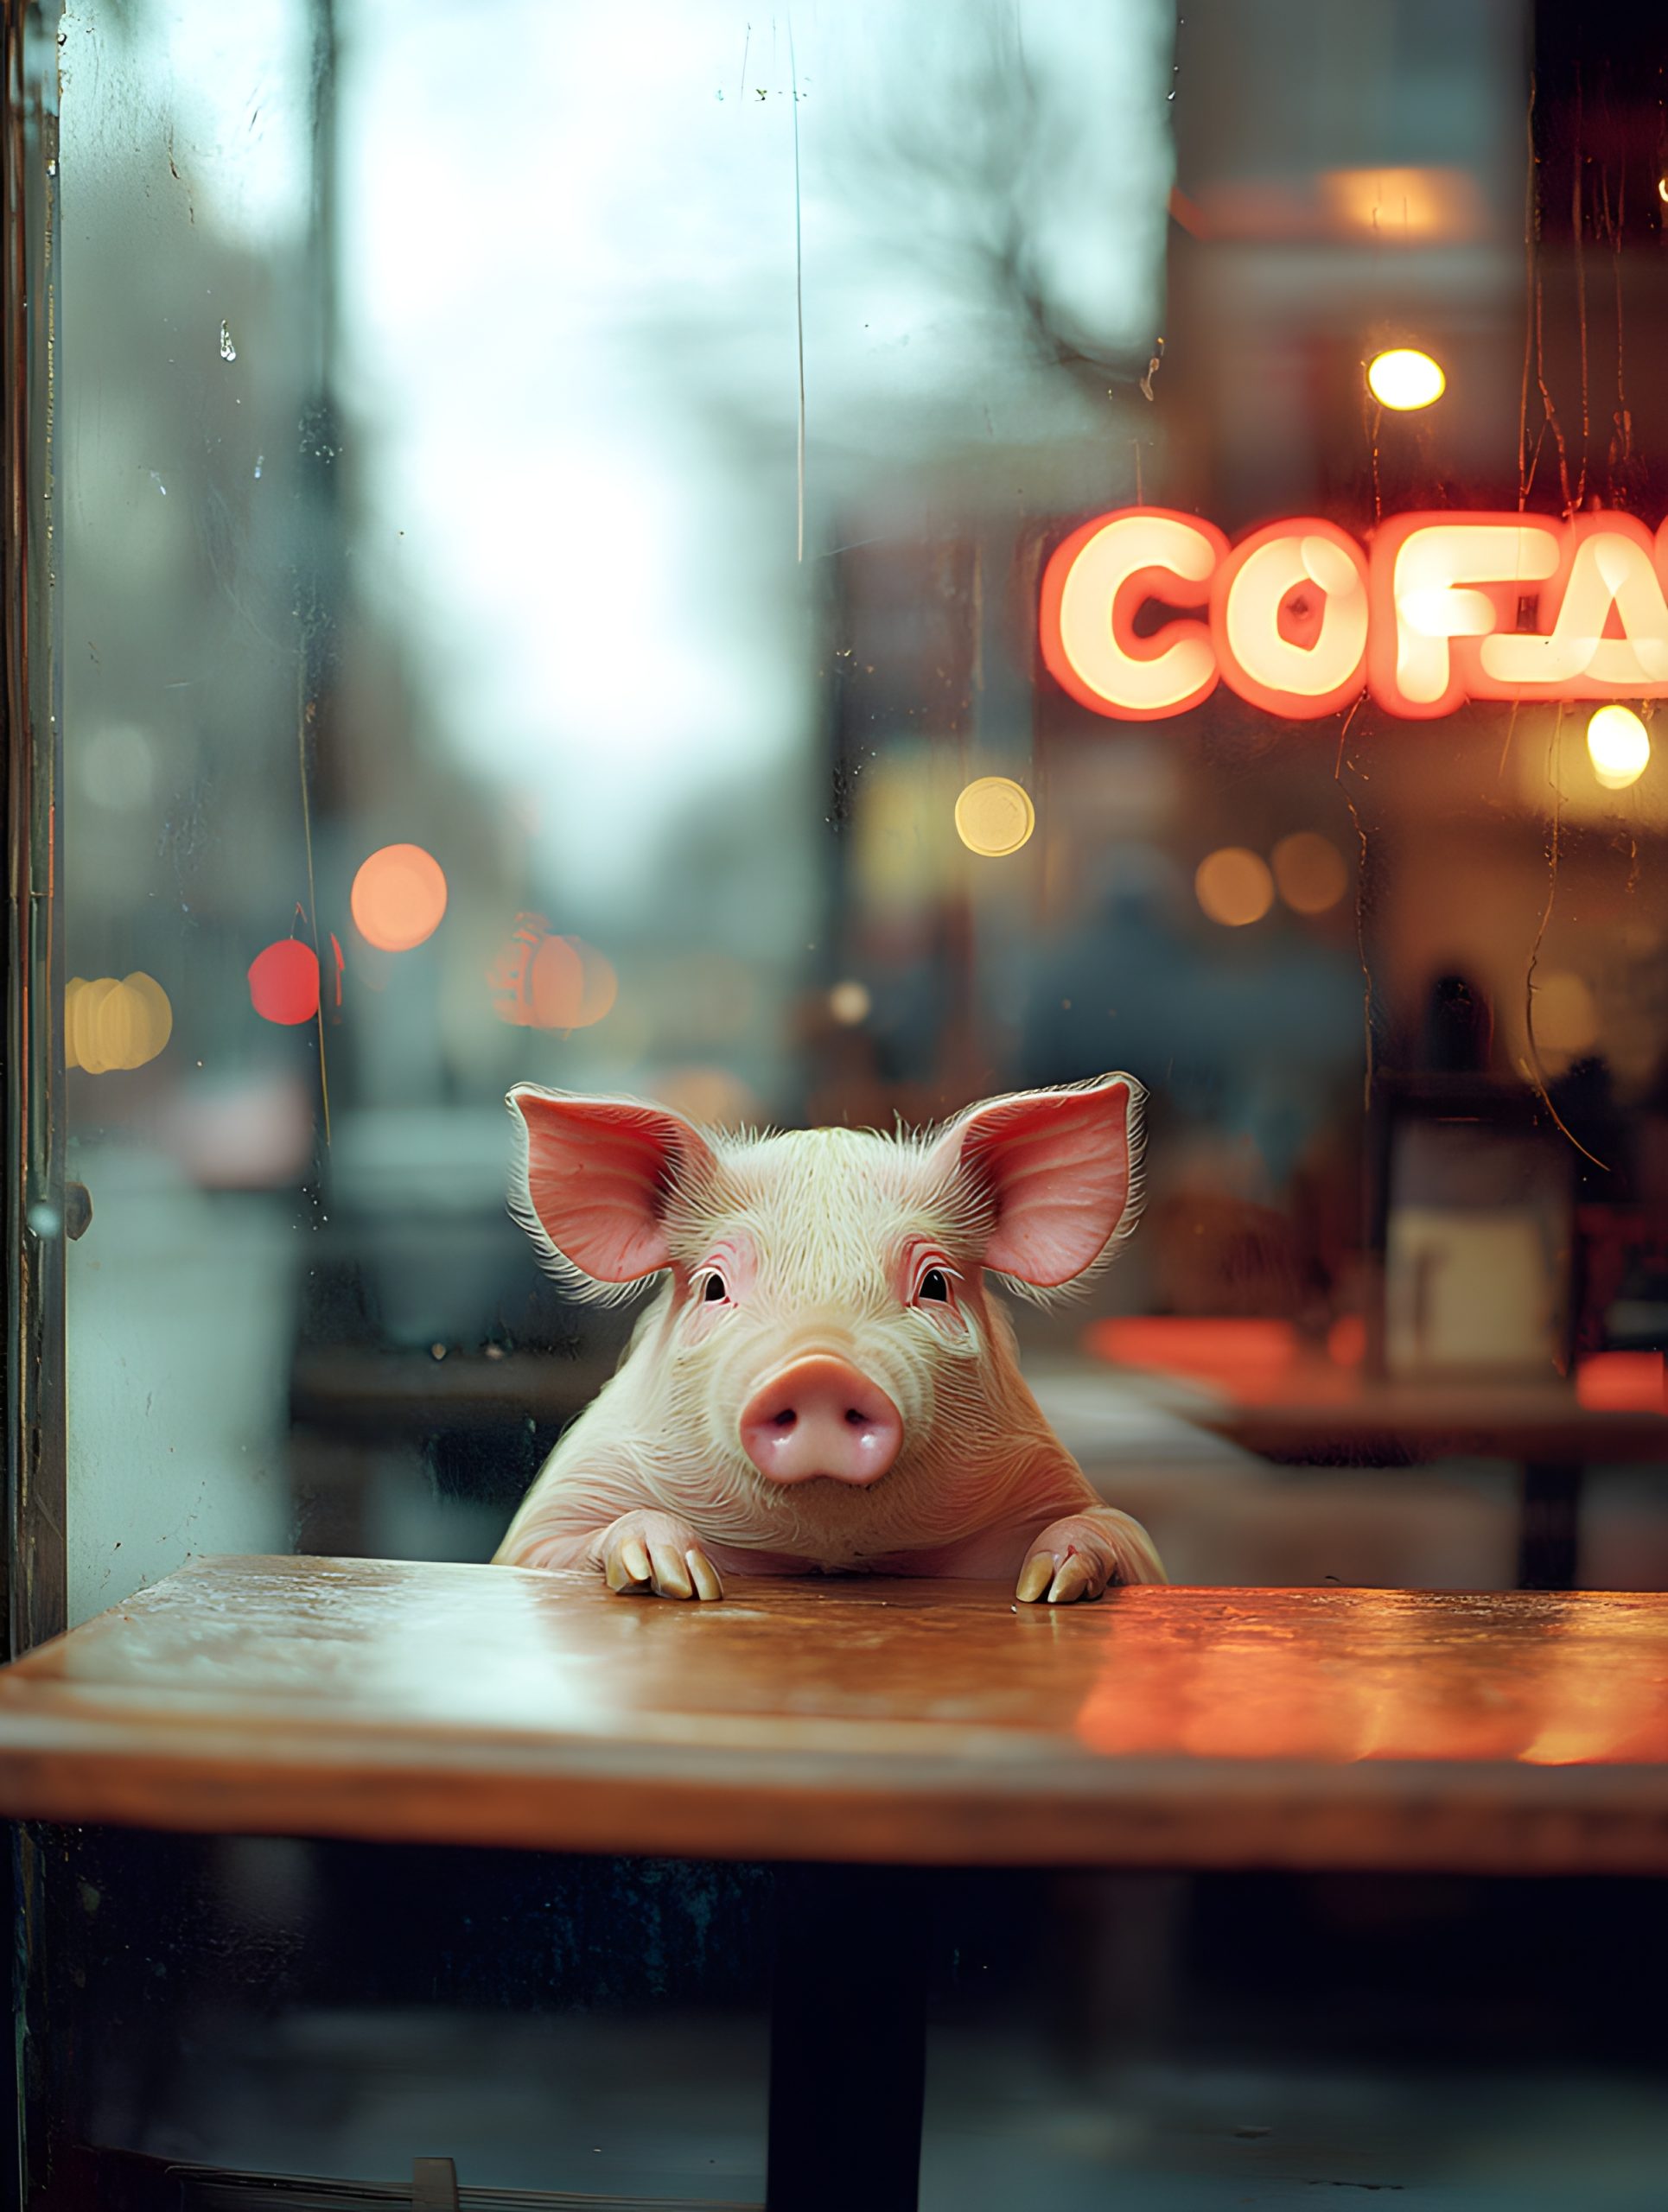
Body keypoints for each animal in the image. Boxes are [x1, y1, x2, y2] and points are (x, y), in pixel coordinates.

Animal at [493, 1074, 1165, 1603]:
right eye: (714, 1286)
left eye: (935, 1284)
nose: (819, 1368)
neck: (828, 1554)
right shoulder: (566, 1499)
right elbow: (545, 1549)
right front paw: (672, 1575)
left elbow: (1116, 1532)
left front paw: (1050, 1584)